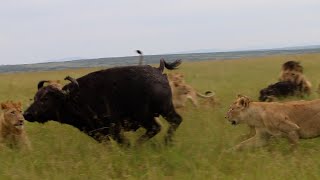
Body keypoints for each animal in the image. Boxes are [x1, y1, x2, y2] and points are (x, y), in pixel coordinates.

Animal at [22, 59, 182, 145]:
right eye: (35, 97)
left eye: (45, 99)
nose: (26, 114)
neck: (74, 98)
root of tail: (158, 70)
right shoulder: (98, 134)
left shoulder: (115, 129)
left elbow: (125, 143)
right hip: (164, 111)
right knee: (174, 121)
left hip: (148, 115)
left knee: (158, 127)